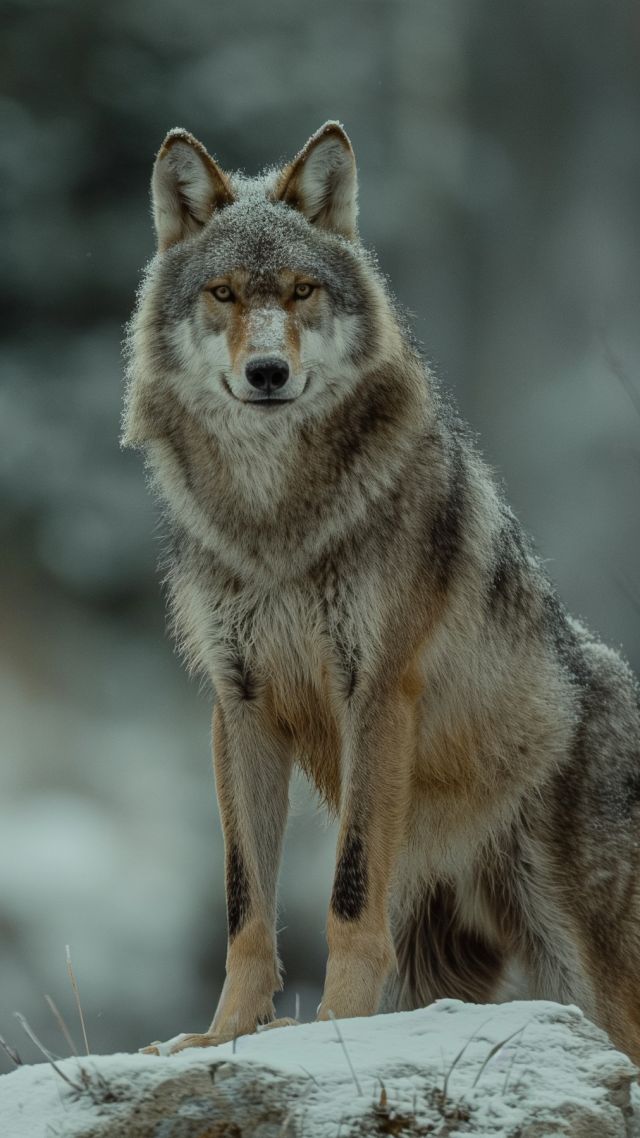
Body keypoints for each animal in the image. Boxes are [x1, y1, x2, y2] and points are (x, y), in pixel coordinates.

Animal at [123, 121, 640, 1060]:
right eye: (223, 293)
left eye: (301, 291)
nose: (265, 372)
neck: (276, 526)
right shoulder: (238, 704)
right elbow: (245, 902)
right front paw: (220, 1038)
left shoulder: (376, 691)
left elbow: (351, 890)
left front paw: (338, 1026)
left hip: (591, 975)